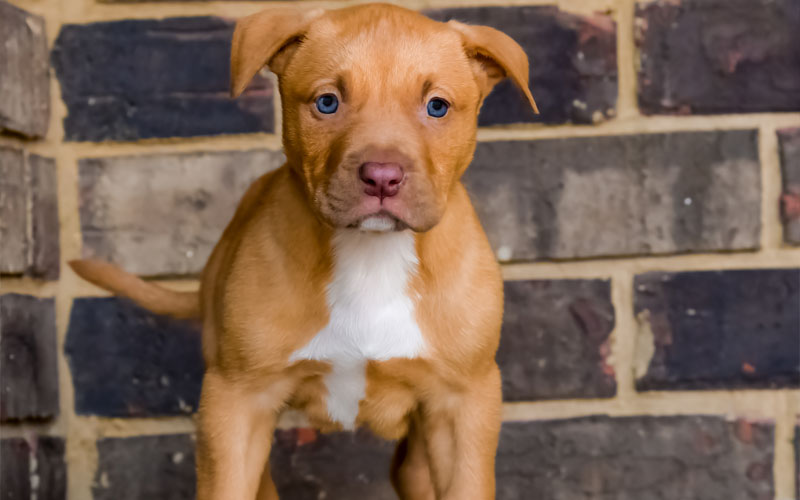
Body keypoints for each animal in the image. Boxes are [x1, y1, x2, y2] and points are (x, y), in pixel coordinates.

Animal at [73, 4, 536, 500]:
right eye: (327, 102)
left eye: (437, 107)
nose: (382, 176)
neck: (371, 255)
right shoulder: (236, 402)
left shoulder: (462, 405)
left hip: (418, 456)